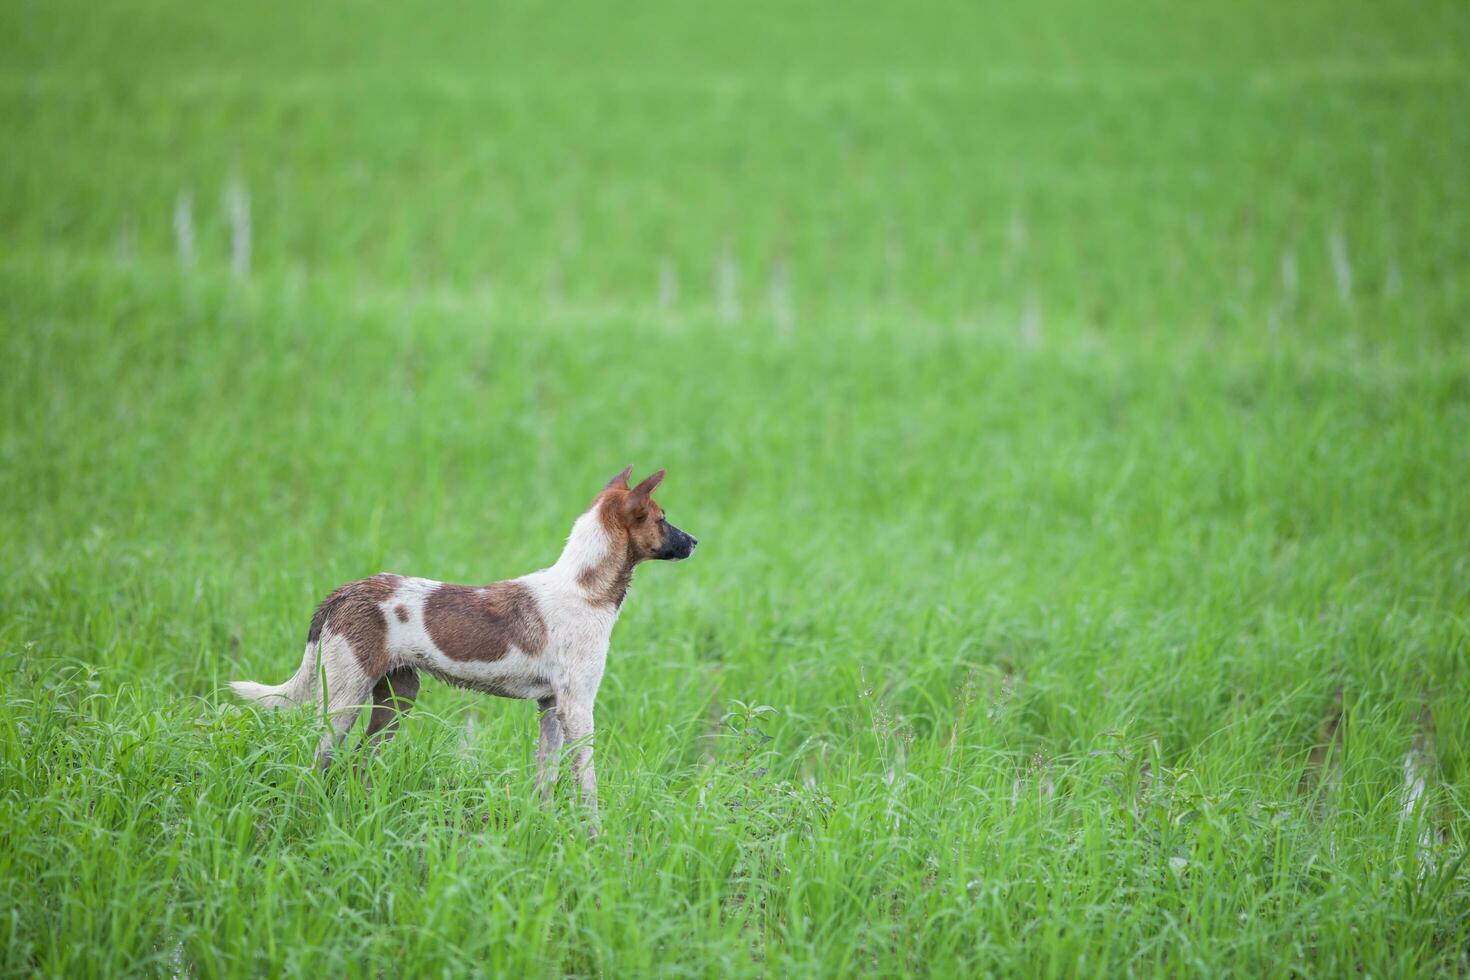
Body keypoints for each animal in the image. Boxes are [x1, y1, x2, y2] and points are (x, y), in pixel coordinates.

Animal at [227, 467, 693, 828]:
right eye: (662, 518)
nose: (695, 542)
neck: (583, 589)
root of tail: (342, 594)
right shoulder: (578, 708)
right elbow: (588, 783)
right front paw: (594, 838)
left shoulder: (550, 708)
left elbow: (546, 778)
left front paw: (541, 832)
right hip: (343, 705)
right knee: (316, 767)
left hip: (396, 702)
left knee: (357, 763)